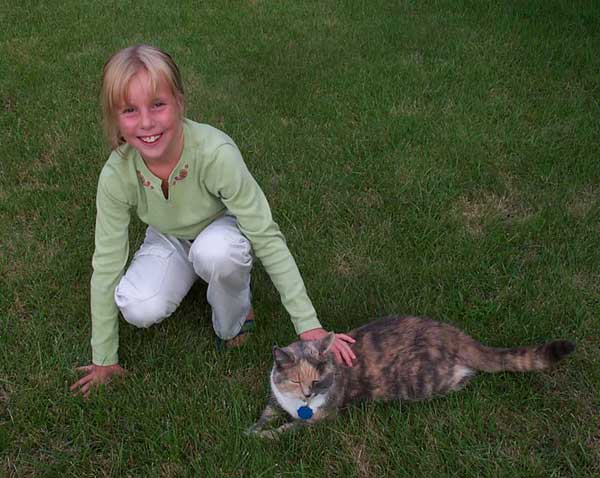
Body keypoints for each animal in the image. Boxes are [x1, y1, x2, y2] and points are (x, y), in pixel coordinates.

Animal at [246, 316, 576, 438]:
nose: (307, 395)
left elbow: (285, 430)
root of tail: (455, 335)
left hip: (423, 380)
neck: (296, 406)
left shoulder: (319, 420)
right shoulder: (275, 398)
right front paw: (252, 429)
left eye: (316, 382)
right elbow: (266, 414)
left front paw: (260, 437)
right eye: (295, 381)